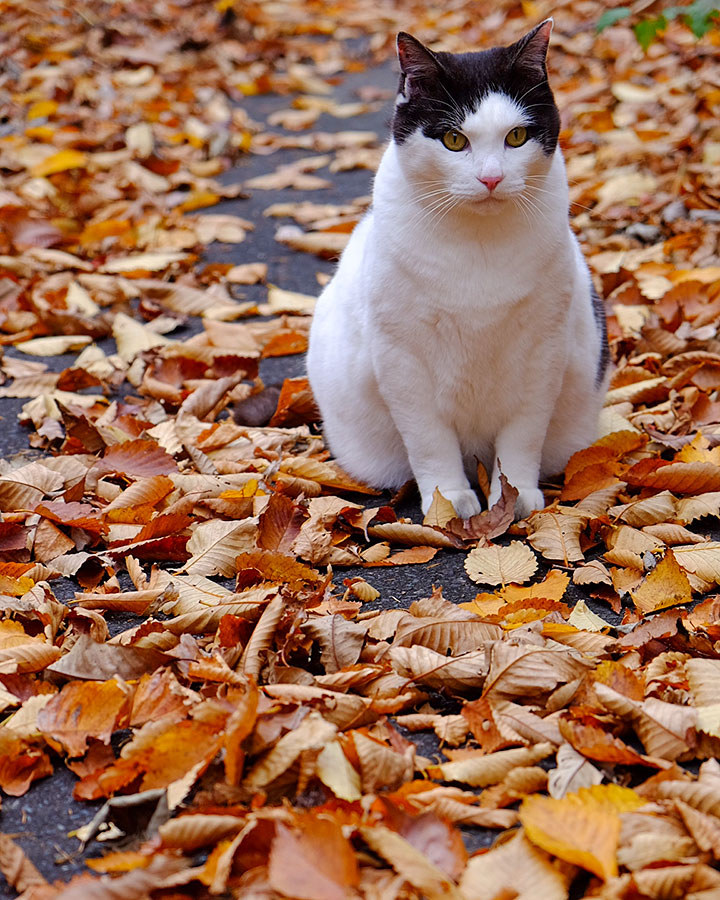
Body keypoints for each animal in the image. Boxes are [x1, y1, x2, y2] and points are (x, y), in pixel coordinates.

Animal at [306, 21, 612, 520]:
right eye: (454, 140)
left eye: (515, 137)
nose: (490, 178)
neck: (478, 246)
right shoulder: (402, 359)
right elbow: (429, 441)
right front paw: (447, 503)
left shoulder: (543, 351)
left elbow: (523, 436)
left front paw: (515, 496)